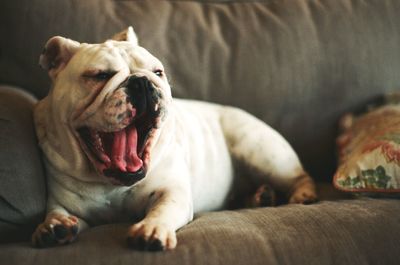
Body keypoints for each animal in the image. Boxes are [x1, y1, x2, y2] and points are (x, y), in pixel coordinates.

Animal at [32, 26, 318, 250]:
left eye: (158, 72)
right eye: (100, 75)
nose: (141, 82)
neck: (112, 183)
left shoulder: (172, 192)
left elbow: (163, 209)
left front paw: (151, 229)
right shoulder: (64, 203)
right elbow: (58, 213)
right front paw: (53, 226)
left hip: (263, 154)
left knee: (299, 176)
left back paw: (301, 195)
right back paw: (261, 197)